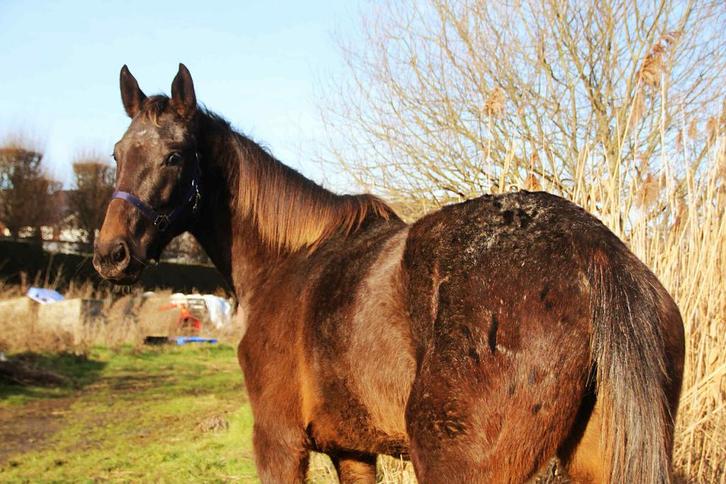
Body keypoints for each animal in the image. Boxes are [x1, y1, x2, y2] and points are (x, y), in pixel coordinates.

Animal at [94, 64, 685, 483]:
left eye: (174, 156)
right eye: (118, 153)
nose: (110, 255)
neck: (289, 262)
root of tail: (594, 250)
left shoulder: (280, 443)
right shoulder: (353, 450)